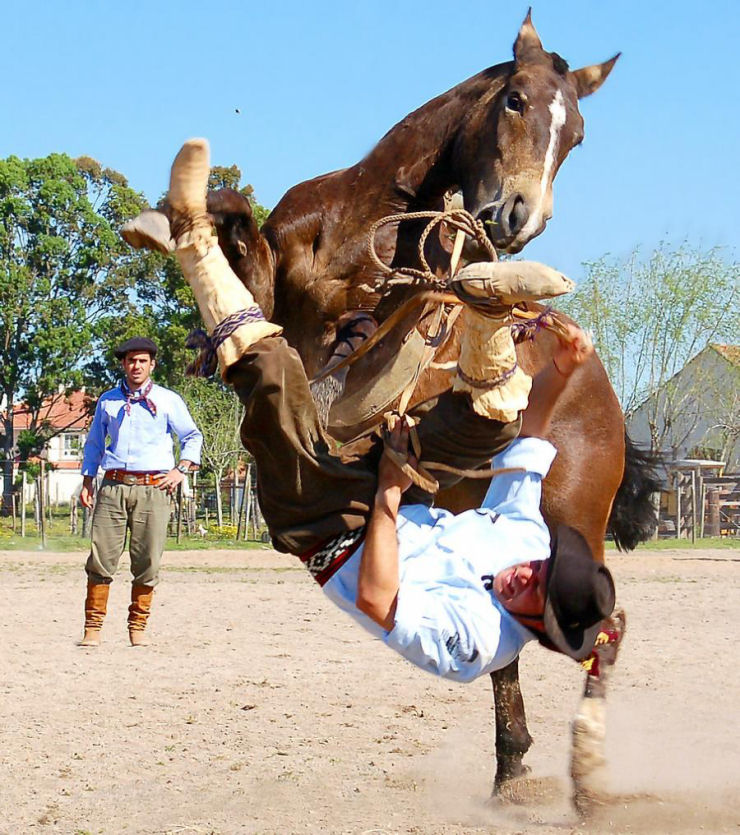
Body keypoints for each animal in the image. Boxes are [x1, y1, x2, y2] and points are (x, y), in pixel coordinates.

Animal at [127, 11, 660, 808]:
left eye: (578, 135)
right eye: (515, 101)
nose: (518, 219)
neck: (360, 232)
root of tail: (604, 397)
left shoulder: (371, 347)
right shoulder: (275, 280)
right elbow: (241, 226)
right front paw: (179, 217)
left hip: (570, 518)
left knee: (597, 622)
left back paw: (578, 769)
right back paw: (512, 766)